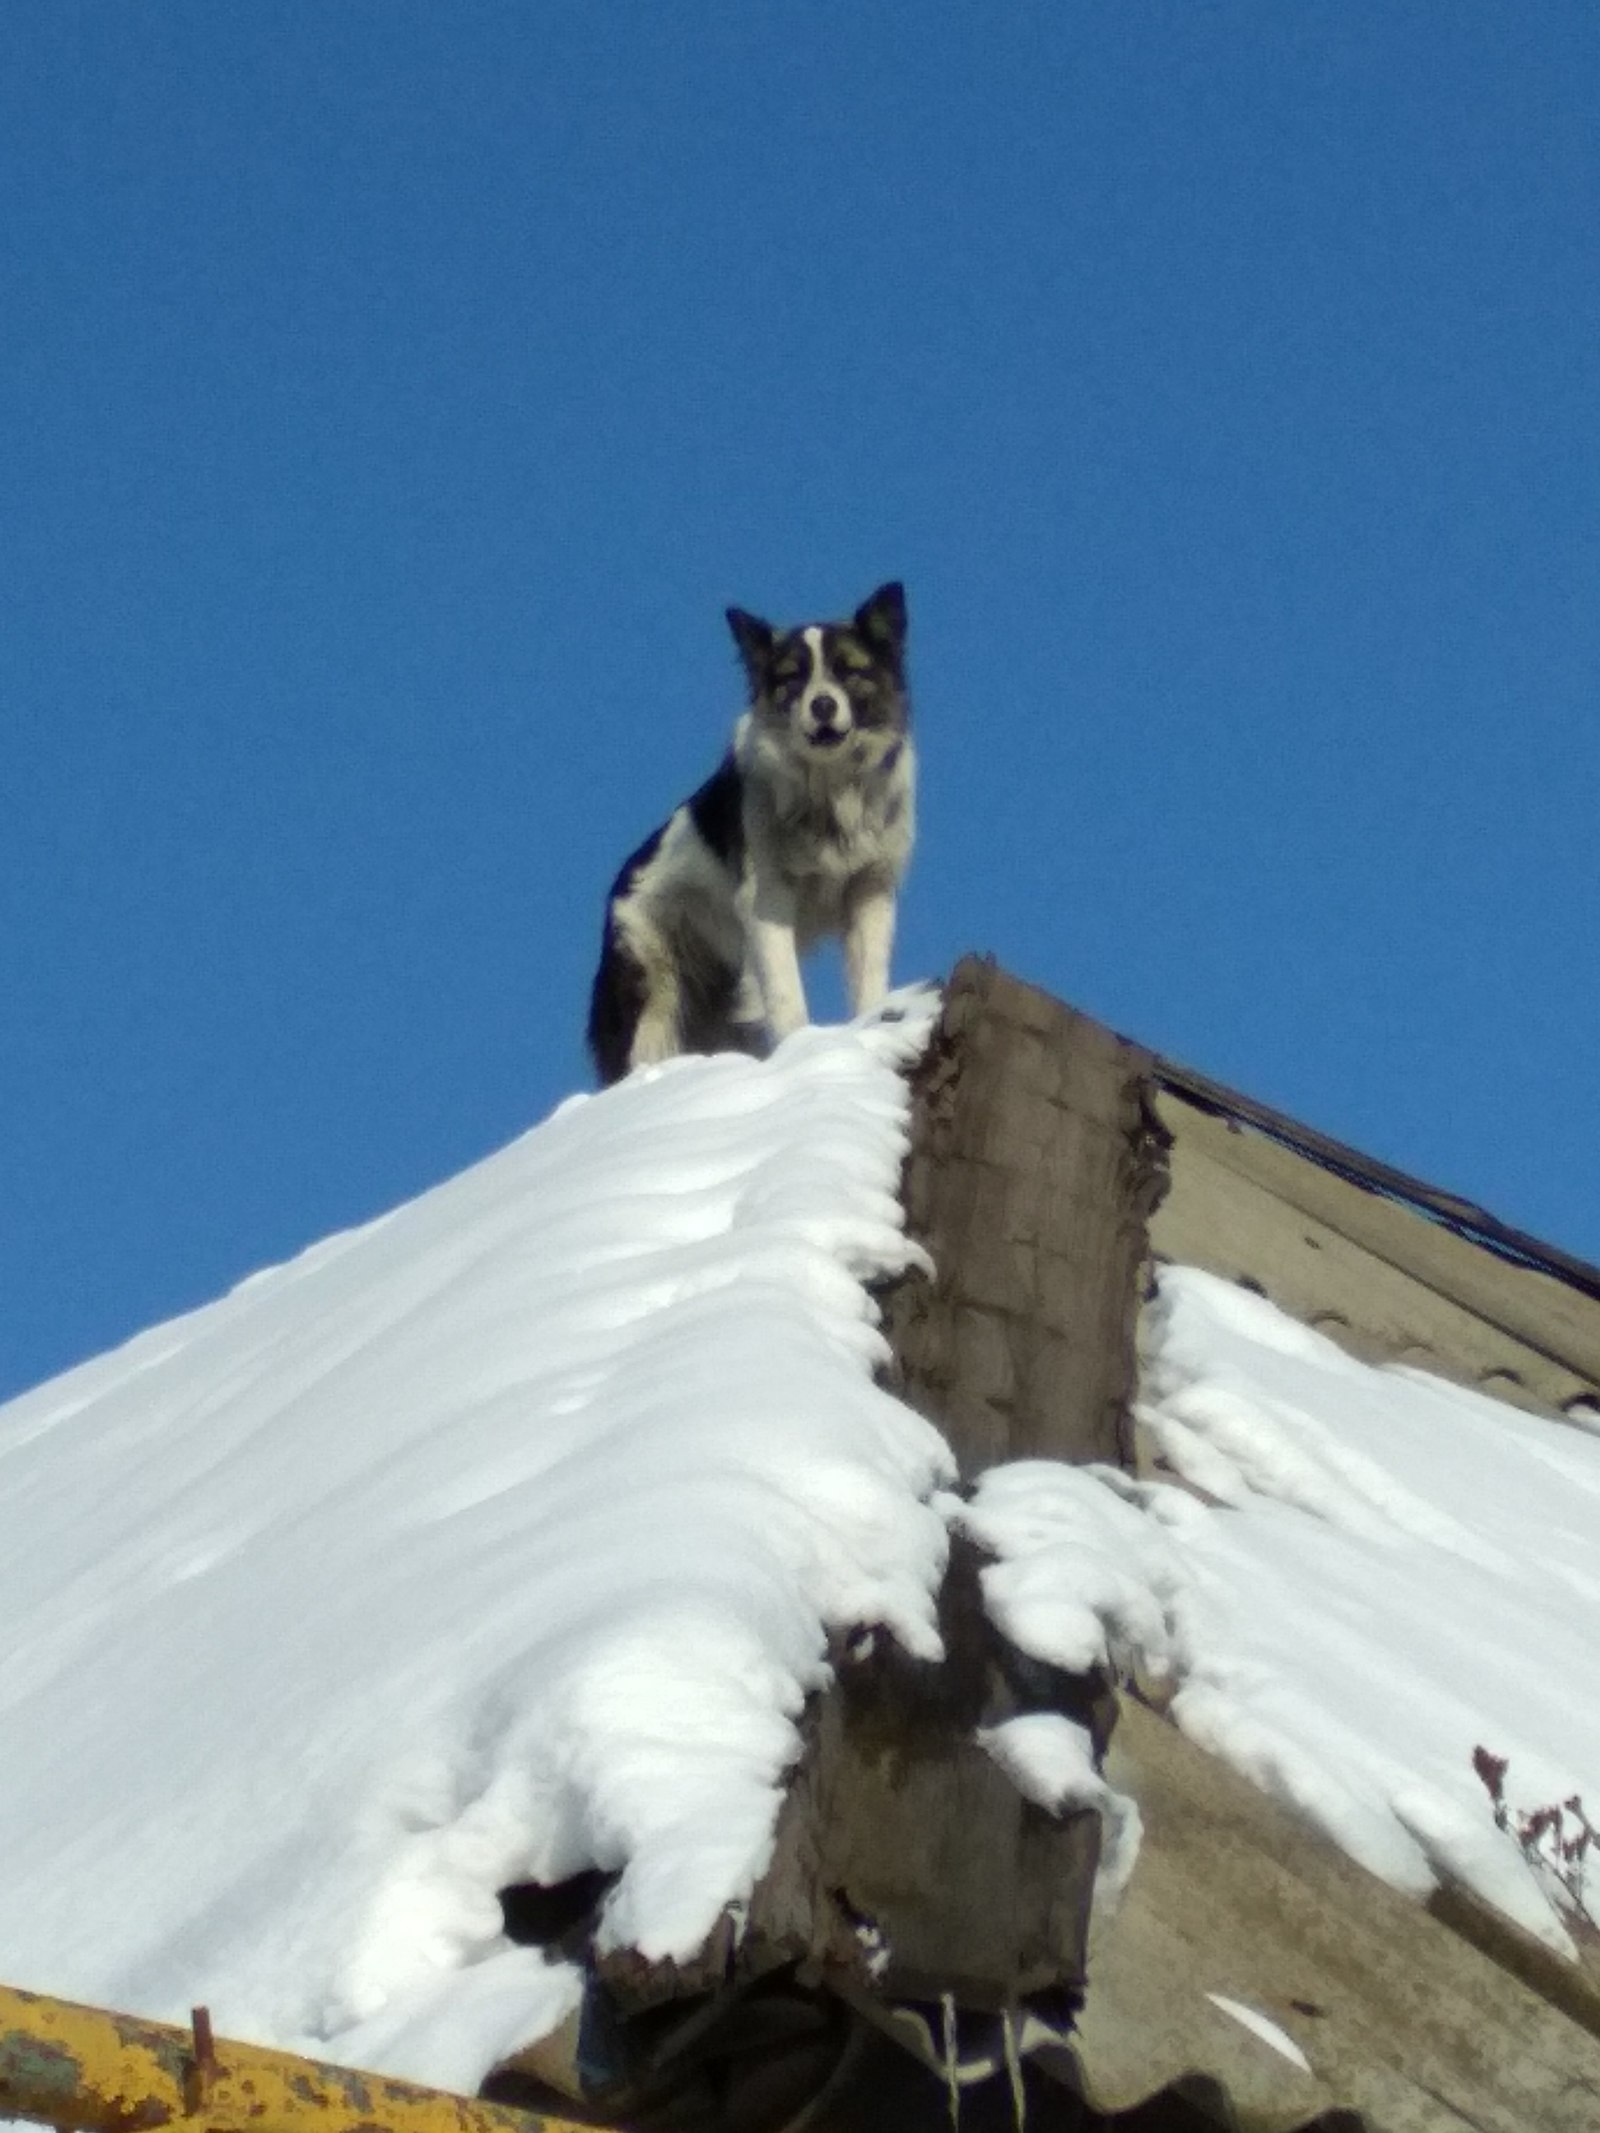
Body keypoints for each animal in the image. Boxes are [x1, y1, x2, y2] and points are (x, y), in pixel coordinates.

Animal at [588, 580, 913, 1083]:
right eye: (792, 679)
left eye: (848, 670)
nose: (822, 705)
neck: (829, 789)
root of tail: (618, 891)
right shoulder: (768, 900)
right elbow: (786, 995)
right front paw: (802, 1048)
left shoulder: (869, 890)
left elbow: (869, 977)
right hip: (654, 991)